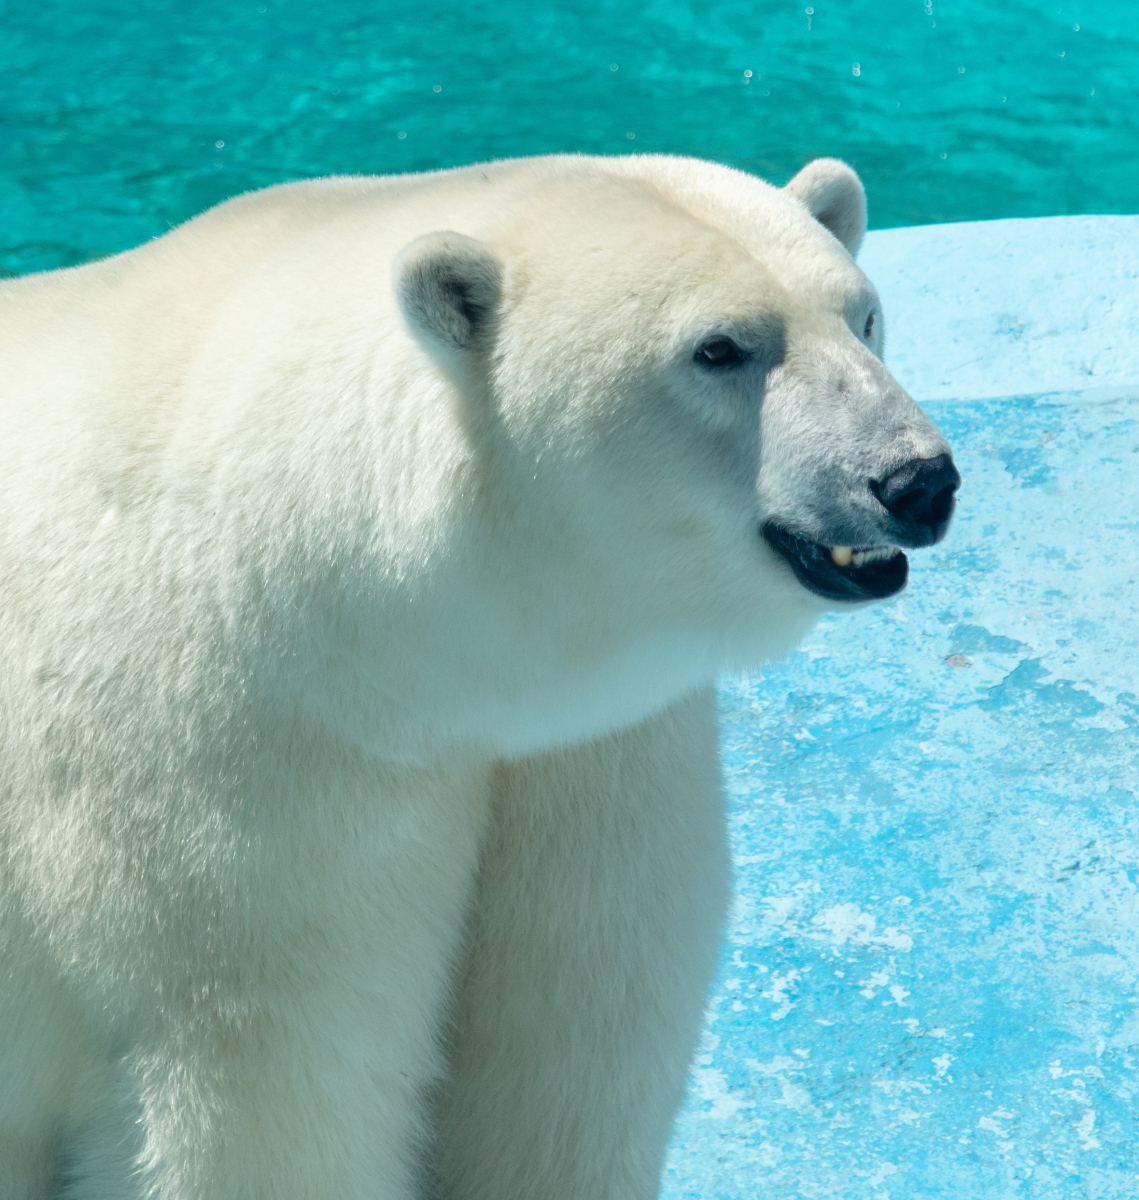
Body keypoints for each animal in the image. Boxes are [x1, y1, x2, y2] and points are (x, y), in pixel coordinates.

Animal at [0, 152, 955, 1200]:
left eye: (862, 315)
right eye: (718, 348)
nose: (916, 481)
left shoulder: (583, 755)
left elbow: (571, 1037)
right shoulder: (231, 791)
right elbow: (269, 1080)